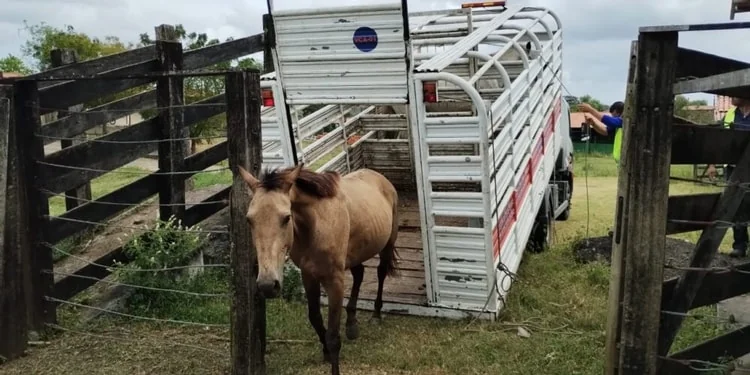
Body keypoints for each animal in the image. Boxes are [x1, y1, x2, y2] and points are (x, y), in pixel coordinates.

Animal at [239, 164, 402, 375]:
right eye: (249, 220)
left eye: (286, 217)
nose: (267, 285)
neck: (316, 225)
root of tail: (379, 177)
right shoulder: (308, 275)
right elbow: (315, 317)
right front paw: (325, 350)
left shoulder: (335, 281)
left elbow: (333, 336)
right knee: (359, 274)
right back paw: (351, 324)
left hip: (387, 244)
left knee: (381, 273)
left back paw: (375, 314)